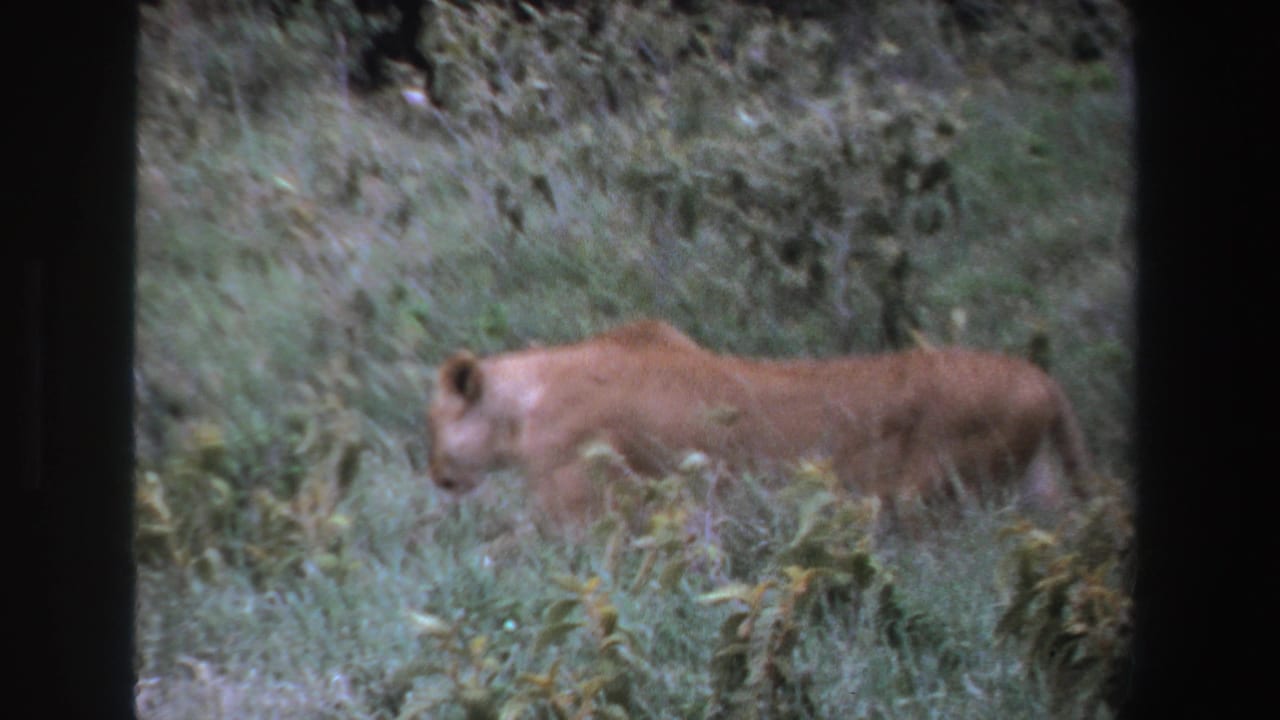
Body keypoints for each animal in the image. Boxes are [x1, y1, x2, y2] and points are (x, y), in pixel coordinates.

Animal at [426, 320, 1091, 522]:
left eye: (431, 423)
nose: (435, 475)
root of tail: (1046, 381)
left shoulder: (579, 508)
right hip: (1039, 489)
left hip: (928, 498)